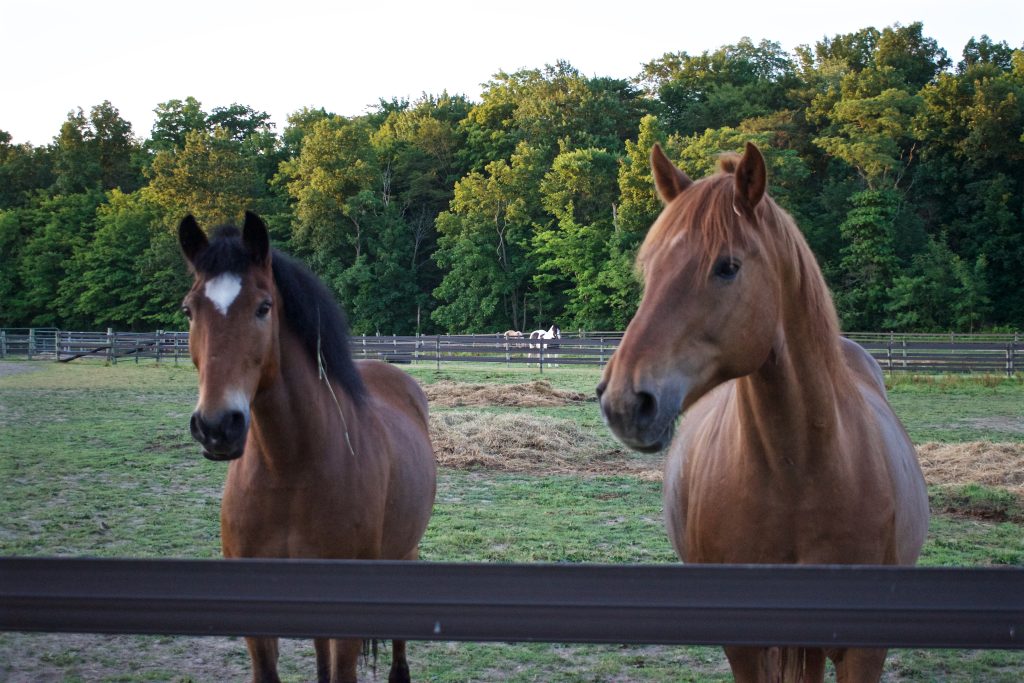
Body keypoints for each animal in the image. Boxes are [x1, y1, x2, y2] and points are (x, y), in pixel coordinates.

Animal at [180, 210, 436, 679]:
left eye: (263, 307)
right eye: (189, 309)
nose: (217, 426)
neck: (289, 470)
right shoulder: (259, 626)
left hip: (404, 553)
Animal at [598, 145, 933, 683]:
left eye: (727, 266)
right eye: (650, 269)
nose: (625, 401)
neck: (802, 473)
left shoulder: (865, 651)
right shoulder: (745, 643)